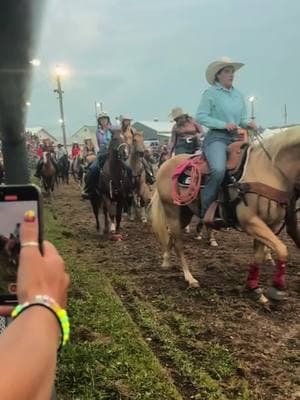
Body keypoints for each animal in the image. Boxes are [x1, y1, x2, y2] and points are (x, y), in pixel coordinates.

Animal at [150, 127, 300, 304]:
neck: (269, 171)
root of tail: (165, 164)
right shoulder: (251, 222)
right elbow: (282, 249)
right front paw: (277, 288)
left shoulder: (270, 224)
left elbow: (258, 256)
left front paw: (254, 289)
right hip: (172, 210)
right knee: (179, 243)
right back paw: (190, 278)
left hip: (184, 213)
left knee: (171, 235)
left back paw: (166, 260)